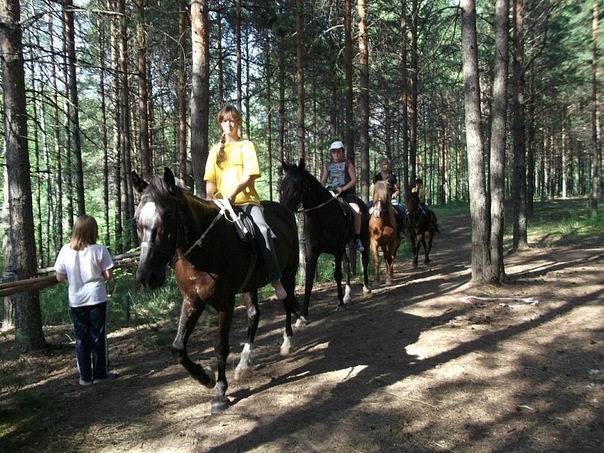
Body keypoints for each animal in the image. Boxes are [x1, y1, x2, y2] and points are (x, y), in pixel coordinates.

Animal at [134, 167, 300, 414]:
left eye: (168, 217)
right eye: (137, 219)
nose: (147, 276)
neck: (204, 251)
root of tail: (285, 210)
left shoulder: (225, 302)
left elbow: (221, 346)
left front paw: (220, 393)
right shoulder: (192, 300)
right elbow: (178, 348)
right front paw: (205, 377)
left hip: (288, 273)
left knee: (287, 303)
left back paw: (286, 343)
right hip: (249, 285)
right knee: (254, 315)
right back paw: (243, 364)